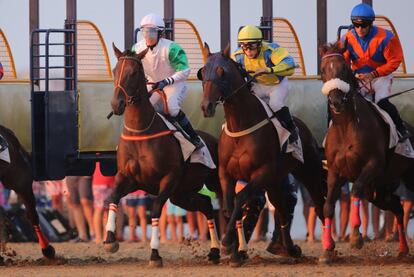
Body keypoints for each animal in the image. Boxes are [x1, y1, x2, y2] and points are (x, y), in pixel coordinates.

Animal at [106, 44, 223, 266]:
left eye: (133, 73)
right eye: (116, 71)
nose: (116, 104)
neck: (140, 131)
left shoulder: (169, 178)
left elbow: (155, 208)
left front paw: (154, 254)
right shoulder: (129, 178)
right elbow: (113, 197)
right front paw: (110, 240)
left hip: (214, 182)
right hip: (182, 194)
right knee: (207, 205)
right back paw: (214, 251)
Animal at [200, 43, 326, 266]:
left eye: (222, 72)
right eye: (203, 71)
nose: (207, 106)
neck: (241, 126)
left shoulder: (261, 172)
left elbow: (241, 198)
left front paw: (227, 243)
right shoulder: (226, 174)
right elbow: (228, 207)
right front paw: (235, 252)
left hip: (307, 171)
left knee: (318, 204)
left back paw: (329, 249)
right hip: (275, 181)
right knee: (282, 209)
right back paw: (290, 249)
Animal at [318, 42, 412, 262]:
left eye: (344, 68)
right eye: (323, 70)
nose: (336, 101)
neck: (346, 127)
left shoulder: (372, 165)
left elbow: (356, 190)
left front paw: (355, 237)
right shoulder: (335, 171)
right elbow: (328, 205)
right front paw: (327, 249)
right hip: (379, 190)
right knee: (397, 207)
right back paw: (403, 249)